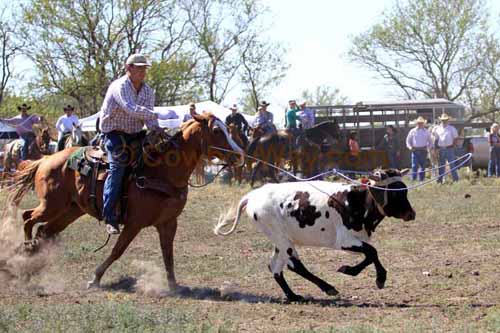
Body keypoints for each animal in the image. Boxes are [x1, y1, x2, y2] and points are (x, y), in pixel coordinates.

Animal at [7, 113, 242, 290]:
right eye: (217, 131)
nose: (239, 154)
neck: (162, 171)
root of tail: (46, 159)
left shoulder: (168, 223)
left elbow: (168, 254)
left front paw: (173, 285)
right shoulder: (134, 223)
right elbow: (117, 250)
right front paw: (95, 278)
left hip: (71, 210)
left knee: (44, 230)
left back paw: (33, 262)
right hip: (51, 204)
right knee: (28, 218)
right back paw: (26, 251)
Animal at [215, 169, 414, 300]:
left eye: (404, 190)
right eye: (394, 193)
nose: (411, 214)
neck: (356, 201)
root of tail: (252, 195)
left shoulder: (356, 241)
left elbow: (369, 255)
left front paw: (350, 270)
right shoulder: (344, 241)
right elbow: (372, 252)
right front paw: (379, 278)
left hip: (281, 240)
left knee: (277, 267)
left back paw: (293, 295)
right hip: (282, 239)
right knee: (293, 266)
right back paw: (325, 288)